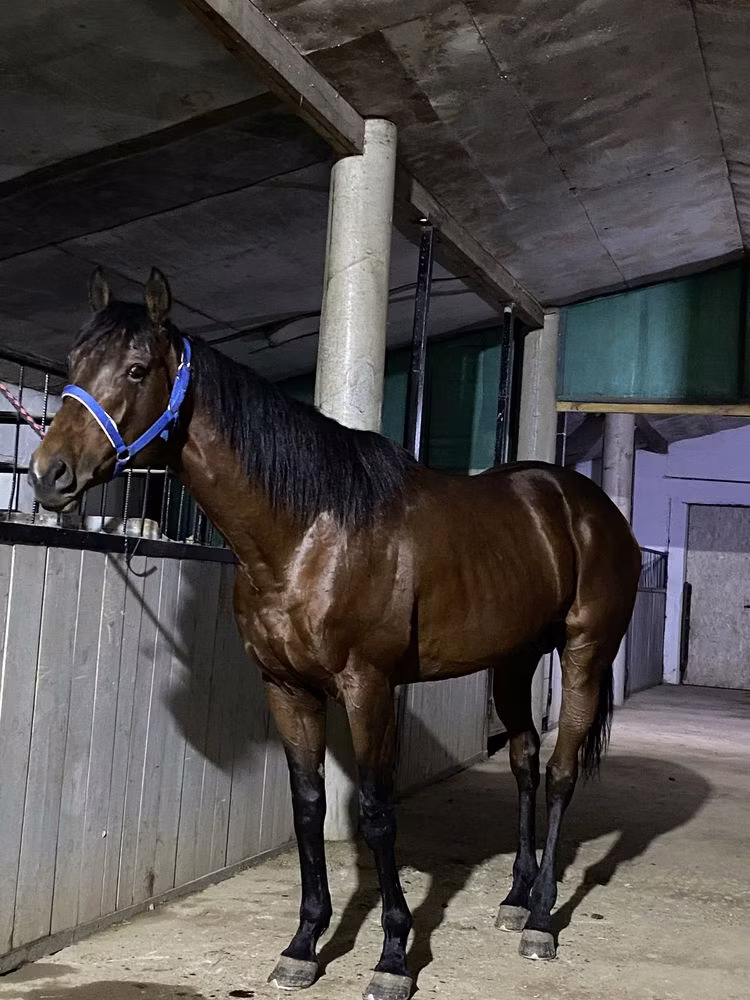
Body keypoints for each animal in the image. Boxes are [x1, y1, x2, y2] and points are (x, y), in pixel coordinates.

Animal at [29, 268, 641, 1000]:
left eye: (137, 368)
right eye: (72, 362)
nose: (49, 474)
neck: (309, 533)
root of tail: (588, 507)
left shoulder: (368, 688)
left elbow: (374, 812)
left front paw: (393, 956)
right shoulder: (286, 687)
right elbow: (309, 808)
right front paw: (303, 945)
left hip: (584, 654)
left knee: (560, 770)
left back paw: (543, 920)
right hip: (514, 660)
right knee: (523, 760)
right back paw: (517, 899)